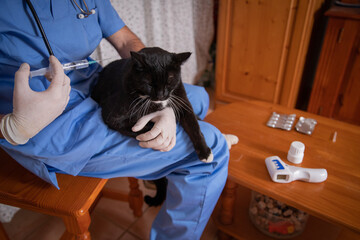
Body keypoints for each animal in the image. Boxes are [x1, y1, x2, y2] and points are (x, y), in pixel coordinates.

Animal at [91, 47, 212, 206]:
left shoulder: (183, 102)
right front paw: (159, 135)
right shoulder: (112, 116)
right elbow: (139, 129)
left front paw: (205, 152)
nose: (161, 95)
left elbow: (194, 127)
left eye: (169, 82)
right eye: (149, 83)